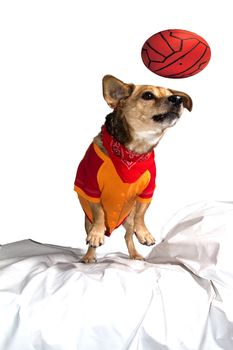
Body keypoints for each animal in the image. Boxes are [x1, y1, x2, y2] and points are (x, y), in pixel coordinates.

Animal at [73, 74, 192, 262]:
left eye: (171, 94)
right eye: (148, 95)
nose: (178, 99)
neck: (132, 152)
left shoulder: (147, 191)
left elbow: (141, 215)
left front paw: (143, 233)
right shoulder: (90, 187)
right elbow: (99, 212)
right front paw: (97, 234)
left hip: (128, 220)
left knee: (128, 235)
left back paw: (134, 253)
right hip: (87, 221)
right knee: (92, 234)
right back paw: (90, 254)